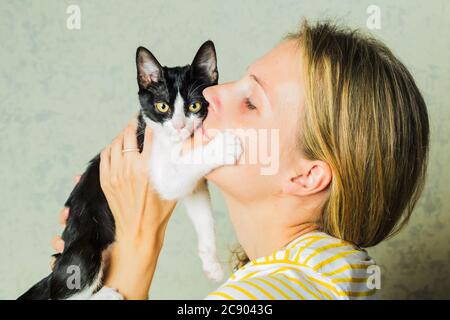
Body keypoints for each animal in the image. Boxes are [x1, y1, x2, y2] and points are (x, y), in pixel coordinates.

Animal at [18, 40, 243, 300]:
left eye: (194, 105)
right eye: (162, 106)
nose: (179, 126)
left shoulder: (191, 185)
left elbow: (202, 213)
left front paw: (211, 264)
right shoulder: (157, 166)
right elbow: (180, 170)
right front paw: (225, 146)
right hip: (85, 248)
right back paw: (107, 294)